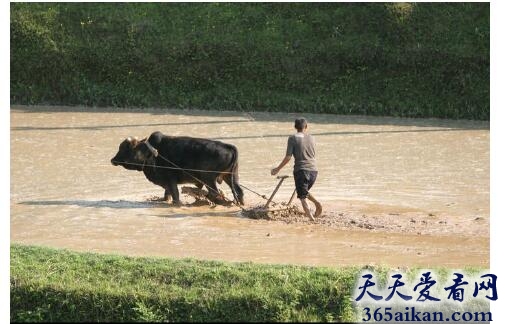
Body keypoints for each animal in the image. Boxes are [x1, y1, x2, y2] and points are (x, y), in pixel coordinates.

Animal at [110, 131, 244, 205]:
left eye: (124, 148)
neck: (152, 153)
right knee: (239, 191)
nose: (112, 159)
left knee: (214, 192)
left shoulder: (170, 180)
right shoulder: (166, 182)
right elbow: (167, 195)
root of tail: (229, 146)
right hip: (230, 176)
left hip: (208, 178)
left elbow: (175, 195)